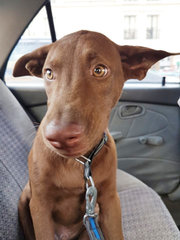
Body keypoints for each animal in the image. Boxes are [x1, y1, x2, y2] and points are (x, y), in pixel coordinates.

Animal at [13, 31, 176, 239]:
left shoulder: (109, 201)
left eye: (99, 70)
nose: (59, 137)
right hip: (25, 198)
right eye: (48, 73)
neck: (78, 162)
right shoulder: (40, 205)